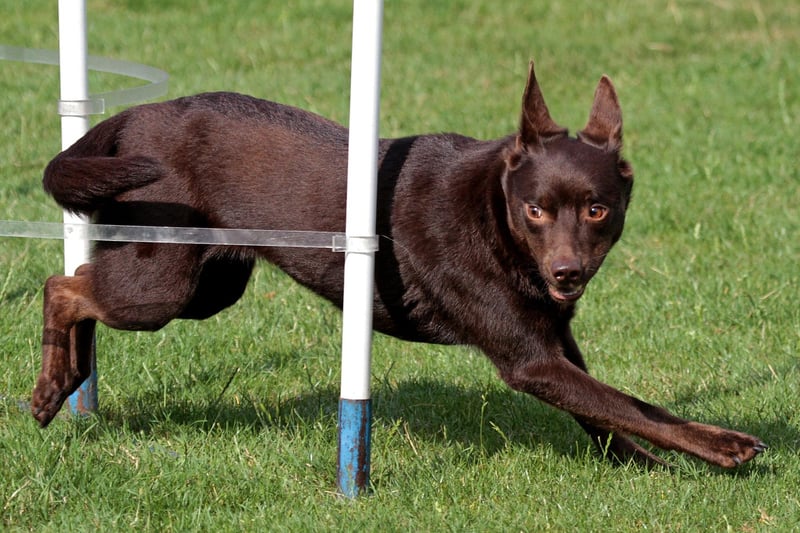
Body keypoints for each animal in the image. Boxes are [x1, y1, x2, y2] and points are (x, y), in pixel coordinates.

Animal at [34, 64, 764, 468]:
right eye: (534, 210)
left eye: (596, 209)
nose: (566, 276)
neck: (492, 214)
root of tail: (135, 114)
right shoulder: (530, 359)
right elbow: (631, 404)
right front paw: (724, 447)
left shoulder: (555, 343)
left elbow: (609, 406)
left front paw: (637, 462)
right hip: (164, 280)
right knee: (63, 285)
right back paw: (51, 387)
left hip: (211, 284)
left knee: (83, 287)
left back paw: (70, 380)